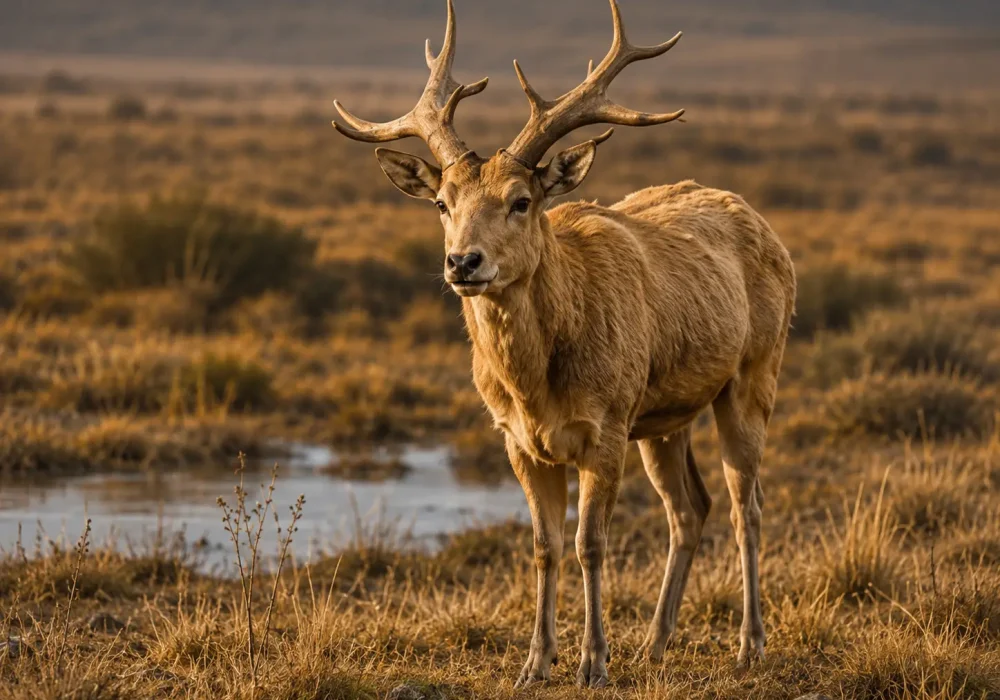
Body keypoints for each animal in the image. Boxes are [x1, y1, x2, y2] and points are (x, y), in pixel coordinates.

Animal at [332, 0, 795, 689]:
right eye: (441, 202)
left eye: (522, 200)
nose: (462, 262)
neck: (537, 386)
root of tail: (766, 227)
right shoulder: (519, 440)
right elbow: (544, 546)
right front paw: (534, 663)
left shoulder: (605, 426)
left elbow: (590, 544)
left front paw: (593, 662)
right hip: (664, 418)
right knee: (691, 507)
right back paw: (654, 644)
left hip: (752, 377)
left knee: (748, 505)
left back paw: (749, 645)